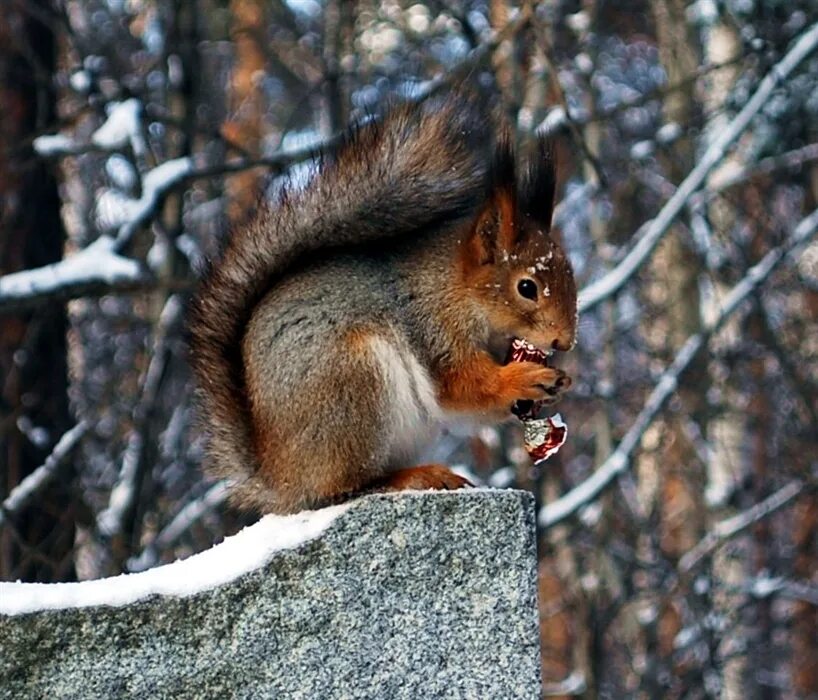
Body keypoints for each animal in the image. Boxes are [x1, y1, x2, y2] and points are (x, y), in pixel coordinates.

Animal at [188, 90, 576, 512]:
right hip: (351, 385)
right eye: (527, 287)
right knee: (346, 486)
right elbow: (464, 387)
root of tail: (280, 479)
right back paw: (413, 477)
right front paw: (525, 378)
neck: (461, 291)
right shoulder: (433, 327)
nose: (565, 342)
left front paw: (558, 382)